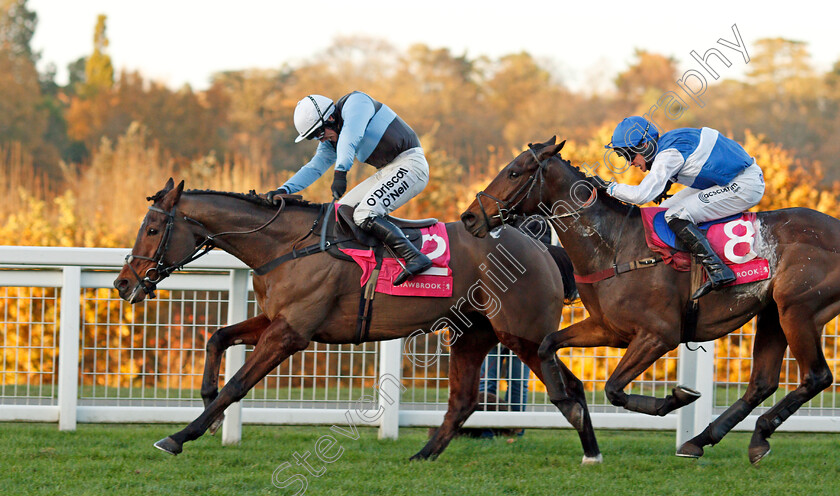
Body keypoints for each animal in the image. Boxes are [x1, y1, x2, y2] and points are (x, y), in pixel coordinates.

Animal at [113, 179, 604, 464]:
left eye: (152, 229)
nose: (123, 283)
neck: (287, 245)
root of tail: (543, 248)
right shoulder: (275, 318)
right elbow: (218, 338)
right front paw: (208, 408)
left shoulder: (291, 333)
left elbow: (238, 385)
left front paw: (181, 435)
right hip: (472, 333)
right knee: (464, 400)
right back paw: (423, 455)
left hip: (522, 334)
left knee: (569, 389)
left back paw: (591, 453)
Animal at [462, 138, 840, 464]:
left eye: (514, 172)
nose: (469, 217)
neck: (616, 246)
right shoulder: (608, 329)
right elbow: (546, 345)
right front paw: (568, 406)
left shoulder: (658, 335)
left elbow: (614, 388)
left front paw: (676, 398)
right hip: (772, 312)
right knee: (762, 383)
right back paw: (708, 440)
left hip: (797, 310)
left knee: (817, 377)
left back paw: (751, 433)